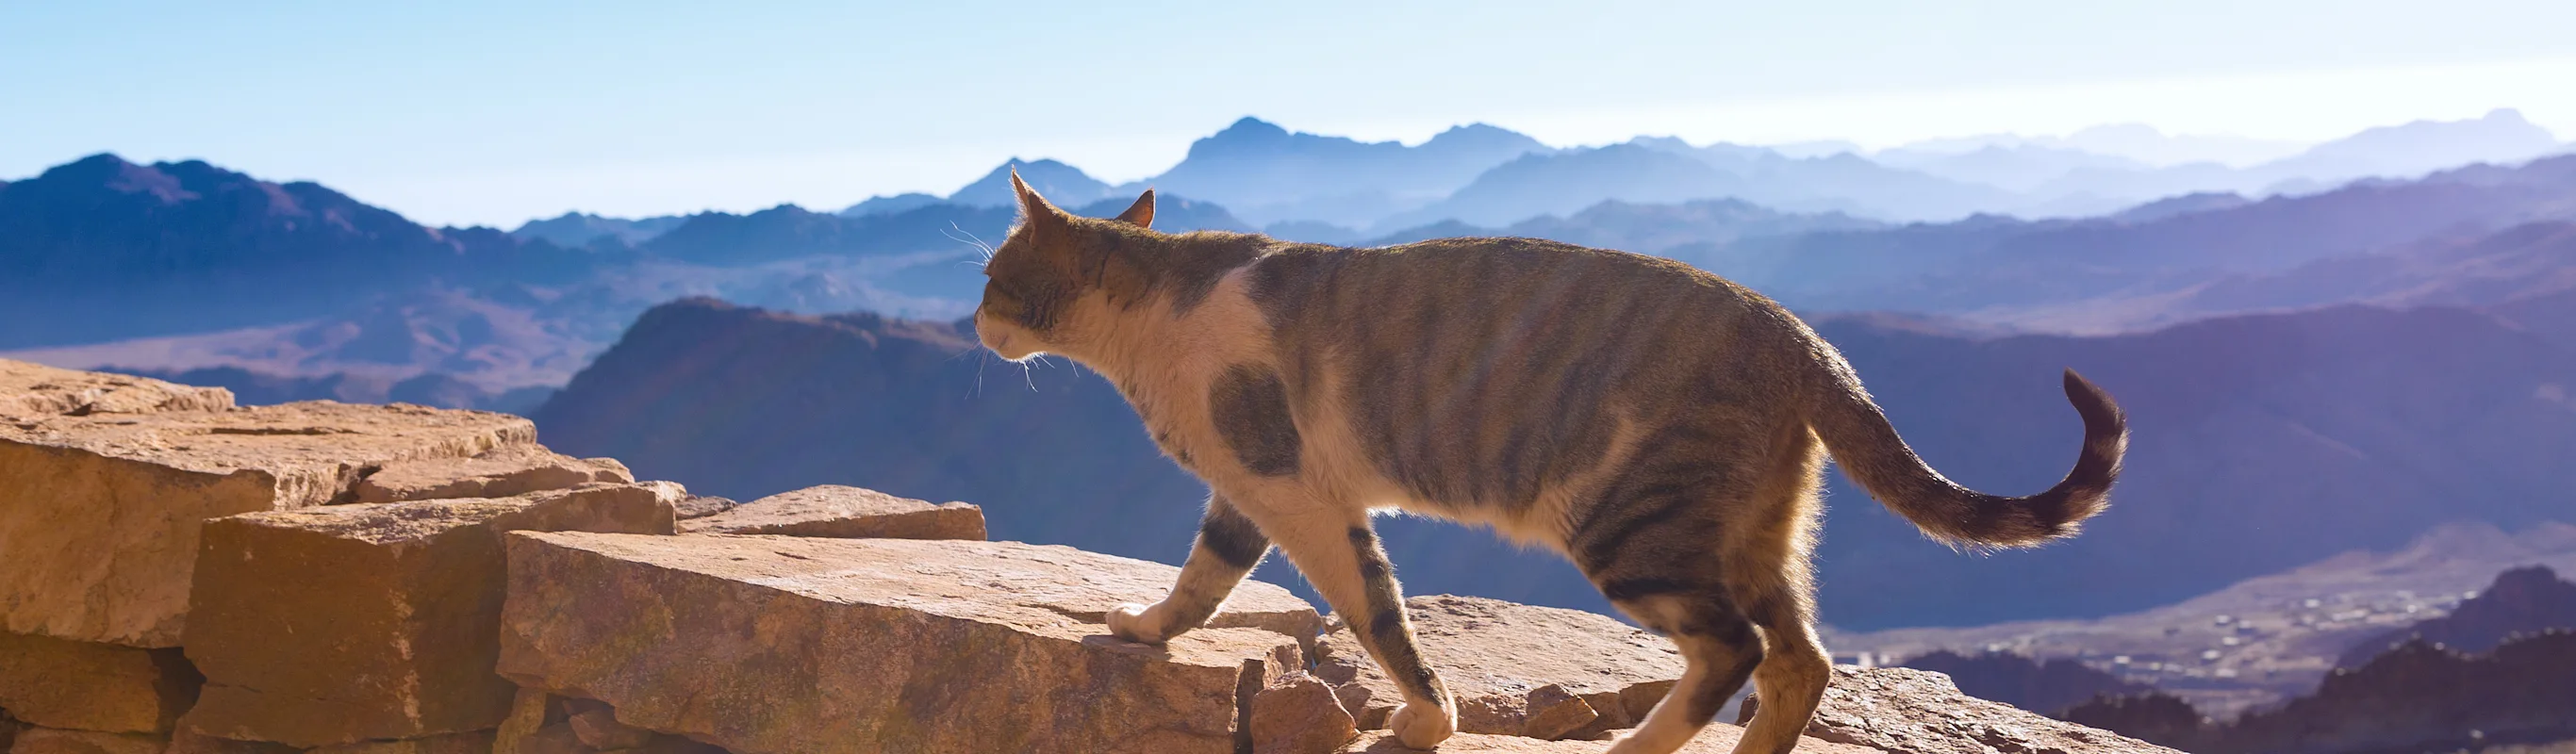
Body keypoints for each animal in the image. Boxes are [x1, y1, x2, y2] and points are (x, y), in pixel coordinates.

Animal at [973, 173, 2122, 751]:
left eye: (991, 274)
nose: (974, 320)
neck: (1147, 325)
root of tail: (1797, 336)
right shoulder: (1249, 490)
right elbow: (1200, 581)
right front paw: (1141, 629)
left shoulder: (1294, 486)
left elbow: (1376, 613)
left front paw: (1425, 719)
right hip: (1750, 531)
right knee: (1801, 659)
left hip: (1630, 522)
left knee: (1736, 651)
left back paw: (1634, 750)